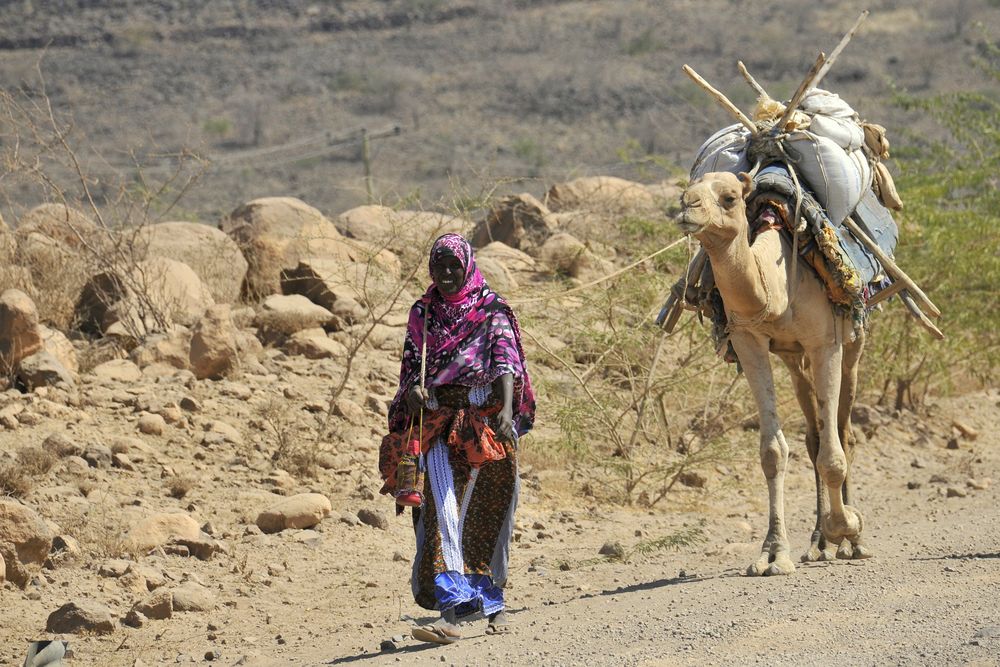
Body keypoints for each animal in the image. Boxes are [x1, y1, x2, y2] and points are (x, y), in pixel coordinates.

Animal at [676, 171, 872, 576]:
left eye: (730, 197)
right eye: (686, 191)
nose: (688, 207)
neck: (779, 282)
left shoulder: (825, 342)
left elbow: (833, 456)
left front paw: (847, 525)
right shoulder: (749, 340)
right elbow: (772, 451)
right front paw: (772, 554)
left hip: (853, 342)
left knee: (843, 432)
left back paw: (850, 541)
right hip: (793, 359)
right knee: (814, 435)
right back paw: (819, 542)